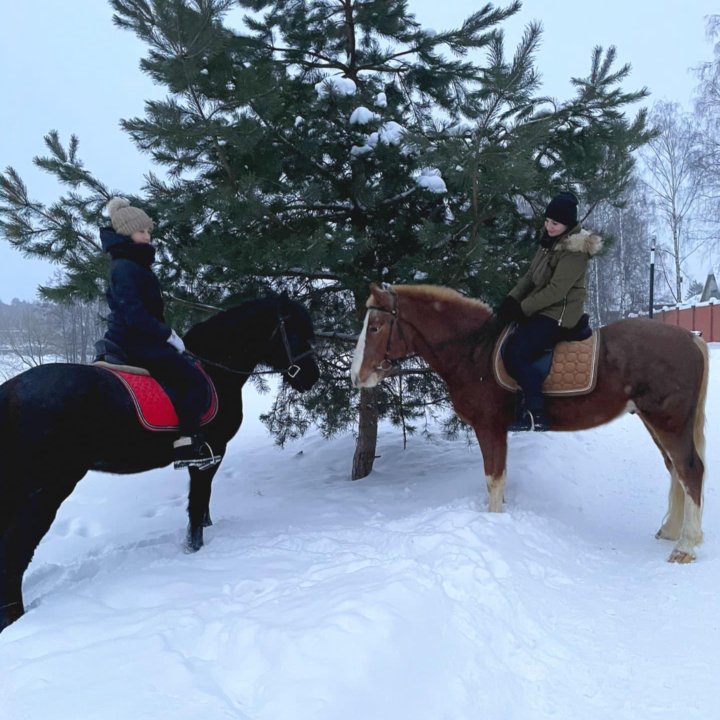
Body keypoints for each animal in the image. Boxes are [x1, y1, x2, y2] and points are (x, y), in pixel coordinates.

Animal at [0, 292, 320, 632]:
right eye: (295, 330)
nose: (312, 376)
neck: (214, 370)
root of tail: (10, 392)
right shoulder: (210, 453)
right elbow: (198, 502)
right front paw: (194, 549)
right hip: (48, 490)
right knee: (14, 553)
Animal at [350, 284, 708, 564]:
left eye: (376, 327)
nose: (356, 376)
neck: (474, 351)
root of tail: (691, 339)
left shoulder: (489, 428)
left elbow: (493, 479)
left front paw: (494, 523)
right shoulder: (498, 431)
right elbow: (499, 479)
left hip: (668, 421)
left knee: (690, 470)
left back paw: (685, 547)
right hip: (656, 422)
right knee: (675, 469)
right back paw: (671, 531)